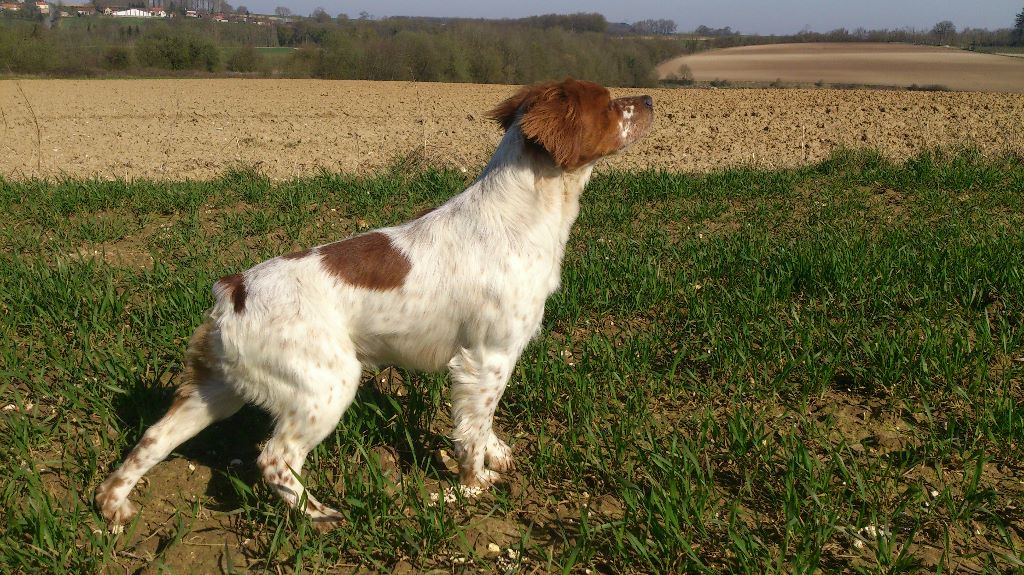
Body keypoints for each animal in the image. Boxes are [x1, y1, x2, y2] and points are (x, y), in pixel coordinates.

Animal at [95, 78, 653, 528]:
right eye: (609, 104)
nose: (649, 98)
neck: (520, 216)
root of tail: (234, 290)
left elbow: (484, 425)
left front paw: (495, 457)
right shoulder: (485, 358)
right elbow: (472, 429)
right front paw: (471, 487)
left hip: (218, 388)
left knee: (154, 437)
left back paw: (112, 505)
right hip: (327, 383)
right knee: (275, 458)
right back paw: (322, 515)